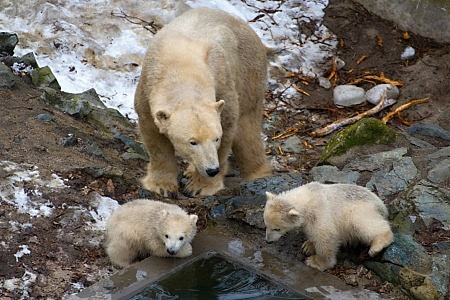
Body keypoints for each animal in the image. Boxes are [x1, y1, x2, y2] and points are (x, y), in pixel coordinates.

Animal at [134, 6, 270, 197]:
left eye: (216, 138)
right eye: (192, 142)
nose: (212, 170)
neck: (181, 67)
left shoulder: (223, 80)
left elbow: (228, 127)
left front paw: (200, 187)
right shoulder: (147, 88)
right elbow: (154, 135)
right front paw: (162, 185)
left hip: (249, 71)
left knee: (246, 128)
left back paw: (258, 174)